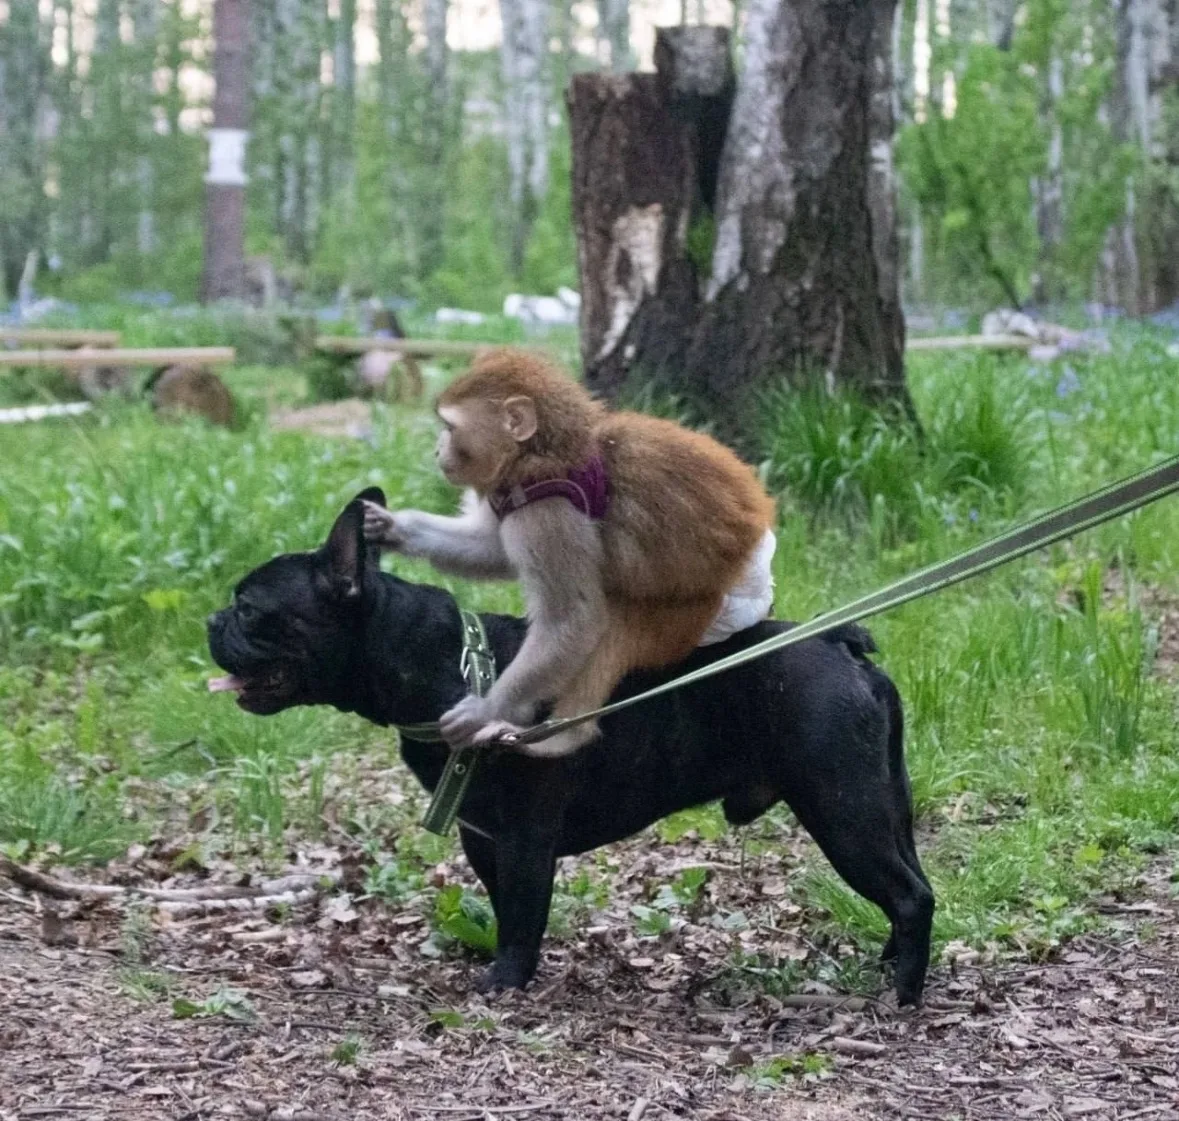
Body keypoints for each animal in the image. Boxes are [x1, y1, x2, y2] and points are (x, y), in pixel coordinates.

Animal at [363, 347, 777, 759]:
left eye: (449, 428)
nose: (437, 450)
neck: (539, 452)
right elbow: (492, 551)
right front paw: (393, 528)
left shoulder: (548, 514)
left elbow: (573, 618)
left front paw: (485, 710)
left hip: (693, 613)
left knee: (614, 624)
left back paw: (562, 737)